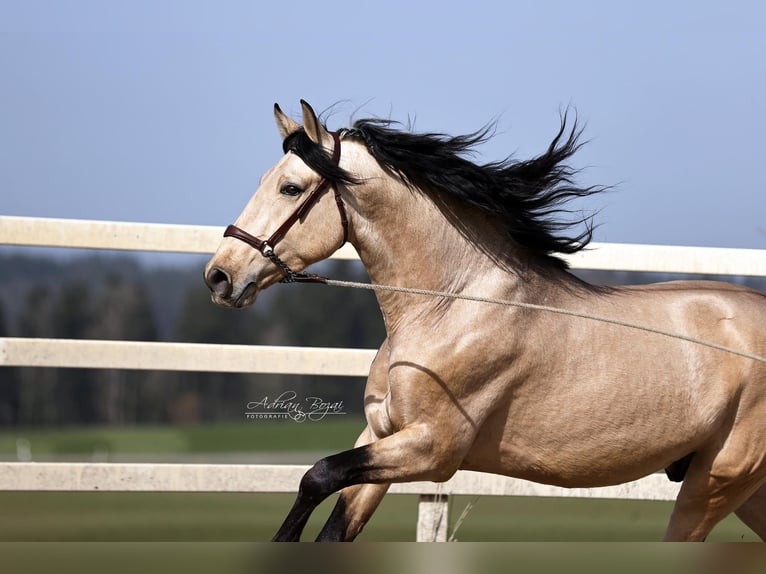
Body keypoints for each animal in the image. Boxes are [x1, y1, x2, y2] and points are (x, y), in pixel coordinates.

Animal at [204, 100, 766, 541]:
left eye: (291, 188)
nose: (219, 277)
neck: (449, 306)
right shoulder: (381, 436)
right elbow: (331, 513)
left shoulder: (433, 449)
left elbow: (317, 475)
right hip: (745, 493)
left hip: (715, 484)